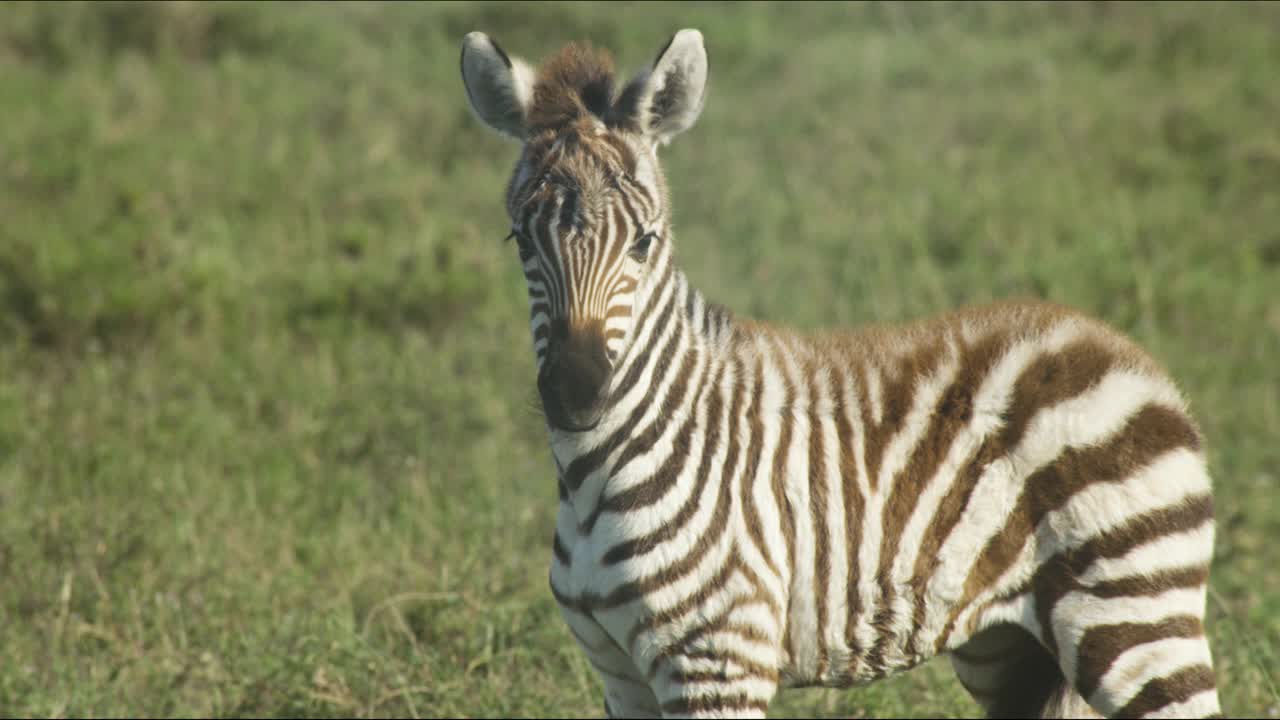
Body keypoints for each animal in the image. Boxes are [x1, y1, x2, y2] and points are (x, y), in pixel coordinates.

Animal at [458, 25, 1218, 712]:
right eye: (520, 240)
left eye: (644, 242)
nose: (576, 396)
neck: (594, 476)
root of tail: (1116, 346)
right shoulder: (621, 678)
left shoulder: (717, 659)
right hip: (1009, 649)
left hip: (1134, 614)